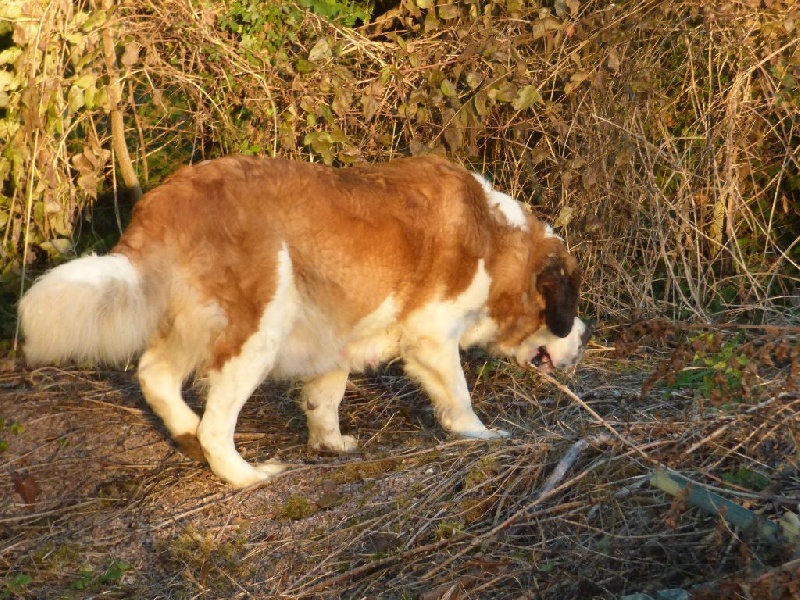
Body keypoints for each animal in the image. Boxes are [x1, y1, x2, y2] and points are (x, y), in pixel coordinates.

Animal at [18, 155, 592, 488]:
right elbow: (458, 394)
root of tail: (169, 198)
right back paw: (245, 475)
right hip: (257, 332)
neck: (497, 243)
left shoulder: (337, 331)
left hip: (194, 323)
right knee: (216, 423)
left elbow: (326, 396)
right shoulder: (431, 336)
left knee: (155, 377)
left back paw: (184, 435)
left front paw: (330, 443)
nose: (582, 338)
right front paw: (481, 434)